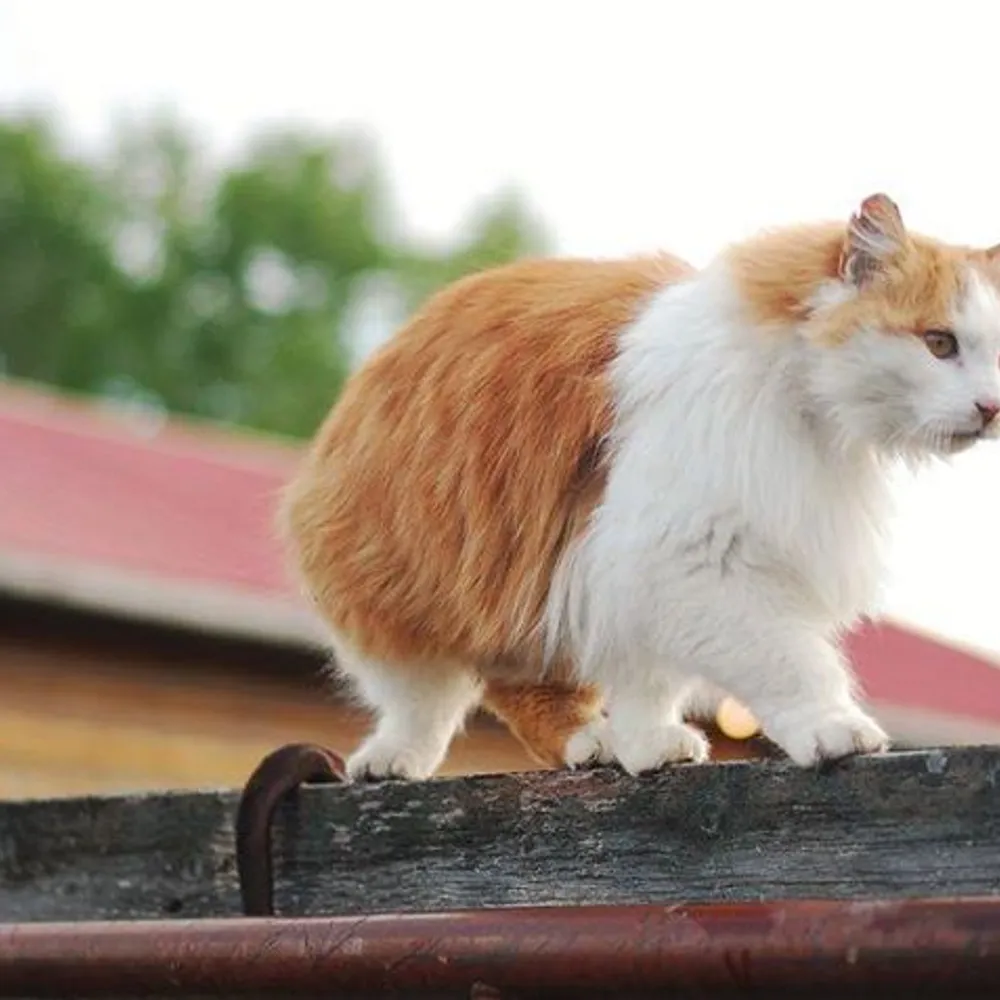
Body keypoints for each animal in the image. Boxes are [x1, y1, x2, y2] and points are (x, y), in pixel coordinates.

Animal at [279, 193, 1000, 781]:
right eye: (939, 344)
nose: (992, 407)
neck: (800, 398)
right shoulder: (688, 557)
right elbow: (791, 662)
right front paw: (832, 727)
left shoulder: (635, 578)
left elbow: (649, 684)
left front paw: (650, 744)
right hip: (401, 584)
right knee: (421, 701)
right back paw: (395, 758)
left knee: (525, 686)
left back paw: (596, 744)